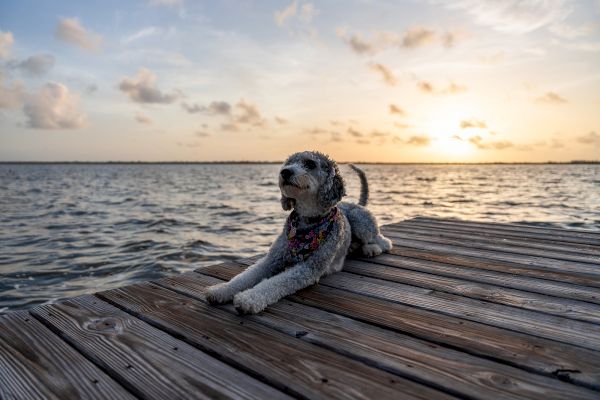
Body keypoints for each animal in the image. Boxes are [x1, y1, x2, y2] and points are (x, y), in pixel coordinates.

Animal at [206, 149, 394, 312]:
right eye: (289, 163)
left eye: (310, 163)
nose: (285, 172)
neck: (306, 222)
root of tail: (356, 204)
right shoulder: (271, 259)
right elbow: (245, 276)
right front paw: (220, 290)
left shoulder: (307, 268)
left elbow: (275, 283)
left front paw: (248, 298)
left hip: (361, 221)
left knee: (382, 240)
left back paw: (373, 248)